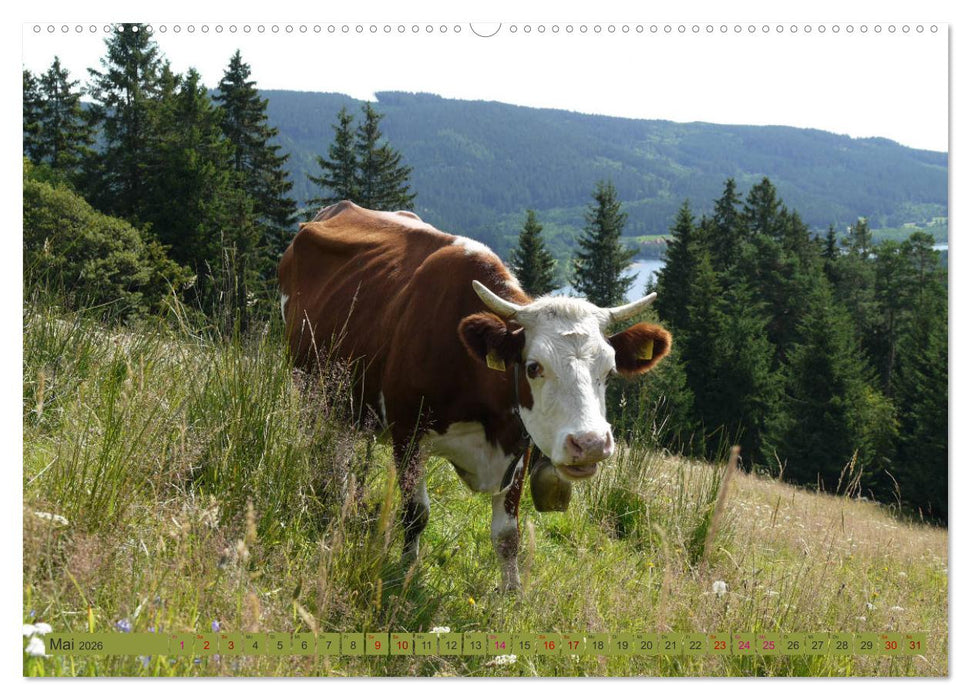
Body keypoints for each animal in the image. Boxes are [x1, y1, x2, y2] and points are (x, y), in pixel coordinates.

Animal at [279, 201, 670, 591]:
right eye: (533, 367)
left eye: (609, 370)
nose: (590, 444)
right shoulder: (408, 433)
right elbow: (416, 514)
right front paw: (406, 573)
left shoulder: (519, 445)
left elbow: (508, 534)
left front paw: (512, 594)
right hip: (308, 388)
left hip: (348, 404)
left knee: (341, 453)